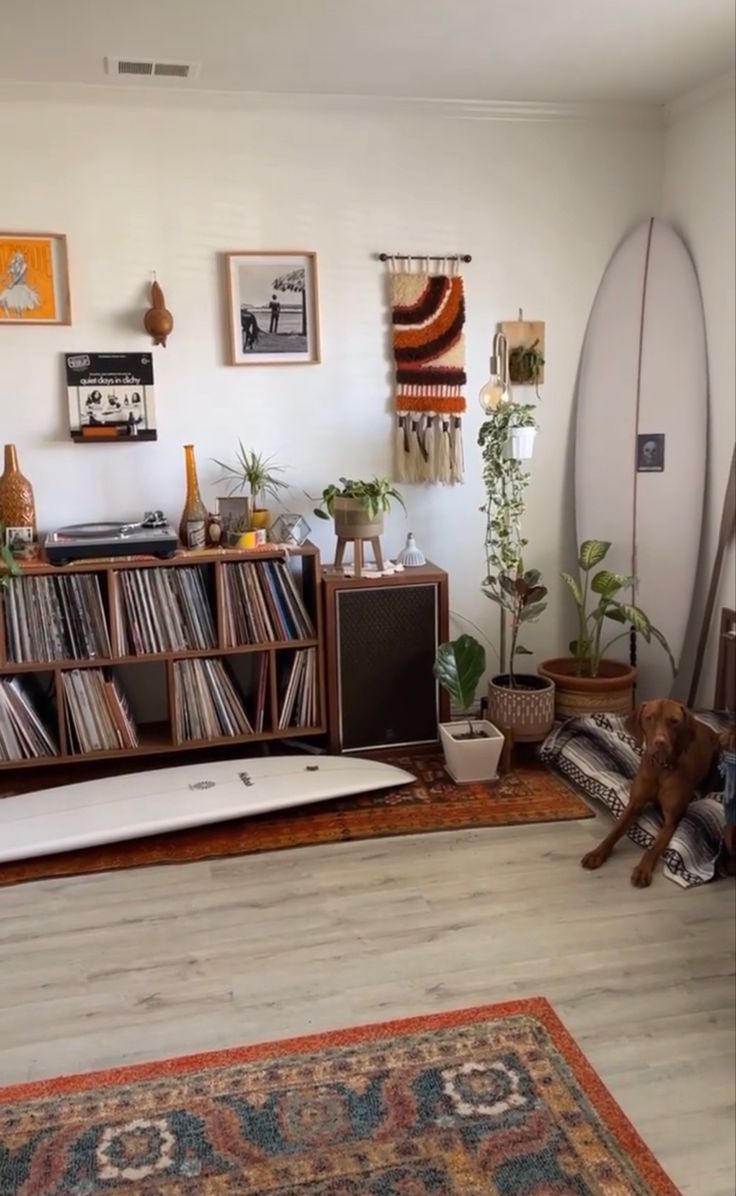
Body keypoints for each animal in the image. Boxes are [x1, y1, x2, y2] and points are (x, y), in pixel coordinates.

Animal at [584, 698, 722, 889]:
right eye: (649, 718)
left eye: (674, 721)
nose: (660, 742)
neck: (660, 767)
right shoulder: (634, 804)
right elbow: (614, 832)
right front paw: (597, 853)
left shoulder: (671, 819)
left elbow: (654, 848)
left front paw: (643, 870)